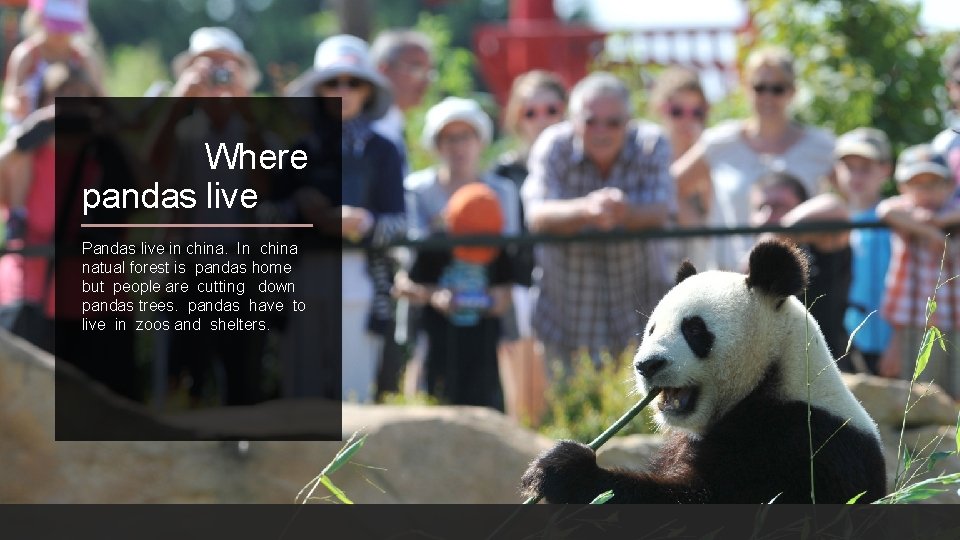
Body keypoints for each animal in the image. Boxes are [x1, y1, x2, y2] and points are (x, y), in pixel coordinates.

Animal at [521, 240, 887, 503]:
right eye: (651, 329)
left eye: (694, 330)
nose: (647, 365)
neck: (773, 374)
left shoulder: (800, 443)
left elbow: (708, 497)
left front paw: (563, 469)